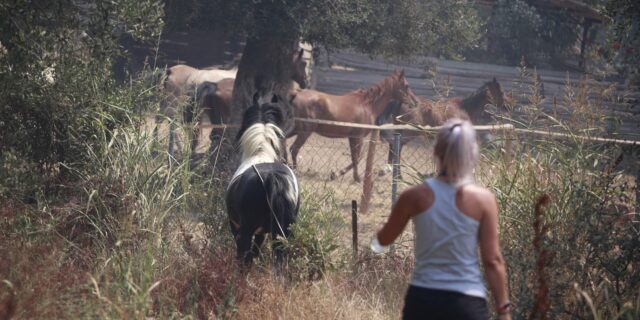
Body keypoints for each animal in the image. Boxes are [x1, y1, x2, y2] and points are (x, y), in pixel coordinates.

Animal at [225, 92, 300, 264]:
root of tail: (272, 177)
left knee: (244, 256)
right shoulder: (262, 232)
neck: (260, 152)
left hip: (247, 229)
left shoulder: (236, 226)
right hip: (286, 230)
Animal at [288, 70, 418, 182]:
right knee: (294, 149)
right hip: (304, 132)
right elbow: (357, 158)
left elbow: (355, 157)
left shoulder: (352, 137)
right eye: (406, 85)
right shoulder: (358, 137)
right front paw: (355, 178)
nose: (415, 102)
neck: (367, 105)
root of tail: (296, 93)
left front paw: (336, 174)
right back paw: (295, 172)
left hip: (294, 130)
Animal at [376, 78, 504, 166]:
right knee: (396, 146)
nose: (505, 105)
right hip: (409, 133)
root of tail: (401, 101)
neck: (464, 108)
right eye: (501, 92)